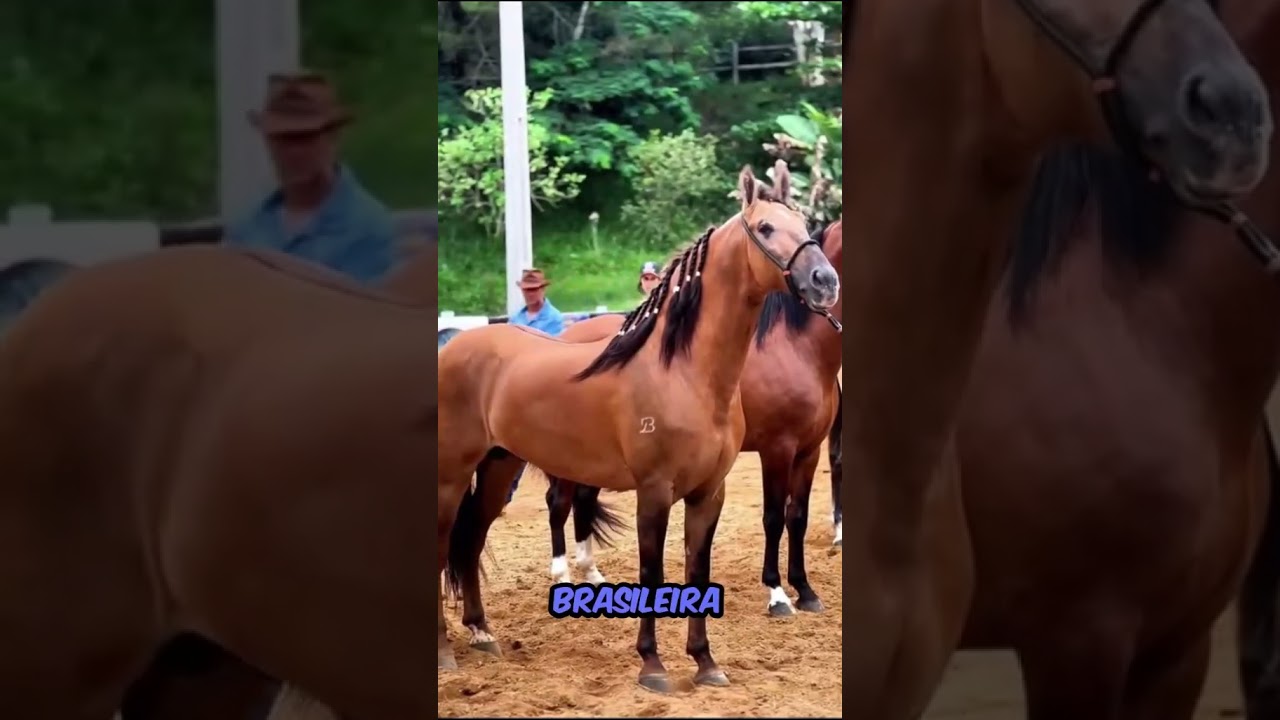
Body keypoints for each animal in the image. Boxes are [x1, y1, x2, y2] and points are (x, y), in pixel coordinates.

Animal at [541, 219, 843, 617]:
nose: (825, 281)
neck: (795, 347)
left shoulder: (809, 450)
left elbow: (798, 517)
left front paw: (805, 590)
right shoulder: (777, 449)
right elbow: (774, 518)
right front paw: (777, 593)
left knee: (583, 500)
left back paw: (592, 575)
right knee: (559, 502)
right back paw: (563, 575)